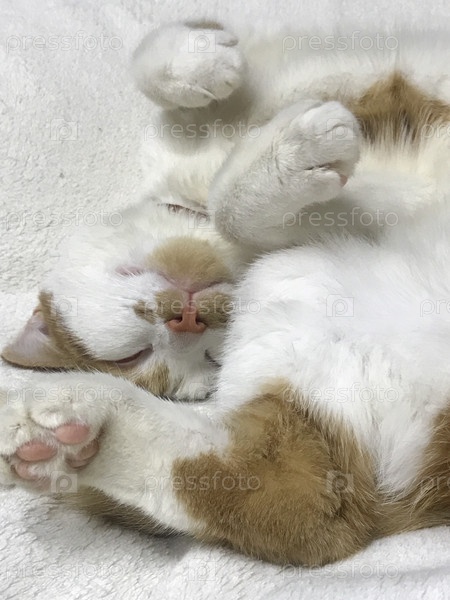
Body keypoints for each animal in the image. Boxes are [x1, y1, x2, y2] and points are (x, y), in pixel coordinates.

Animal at [1, 20, 450, 566]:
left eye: (131, 356)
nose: (184, 320)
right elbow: (233, 210)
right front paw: (284, 161)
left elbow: (156, 71)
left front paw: (197, 59)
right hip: (329, 397)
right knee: (284, 502)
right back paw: (59, 430)